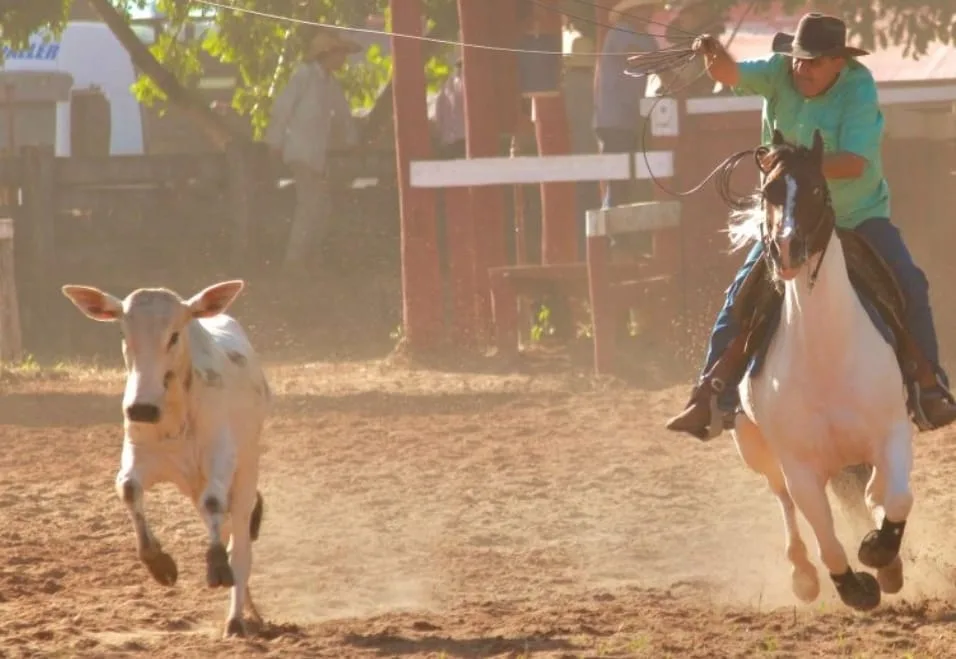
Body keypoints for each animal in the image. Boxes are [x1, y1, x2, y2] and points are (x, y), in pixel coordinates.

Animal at [60, 280, 268, 640]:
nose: (142, 408)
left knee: (240, 541)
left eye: (174, 335)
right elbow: (129, 488)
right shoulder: (139, 454)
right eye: (124, 333)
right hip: (192, 483)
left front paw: (216, 567)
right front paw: (158, 563)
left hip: (245, 472)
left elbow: (215, 504)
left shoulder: (221, 458)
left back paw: (236, 618)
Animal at [732, 130, 912, 612]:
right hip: (755, 448)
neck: (827, 355)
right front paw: (853, 586)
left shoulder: (893, 431)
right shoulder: (799, 467)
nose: (786, 248)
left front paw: (880, 551)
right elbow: (825, 535)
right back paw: (803, 574)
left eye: (817, 190)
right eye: (769, 192)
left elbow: (898, 498)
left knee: (874, 492)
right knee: (784, 501)